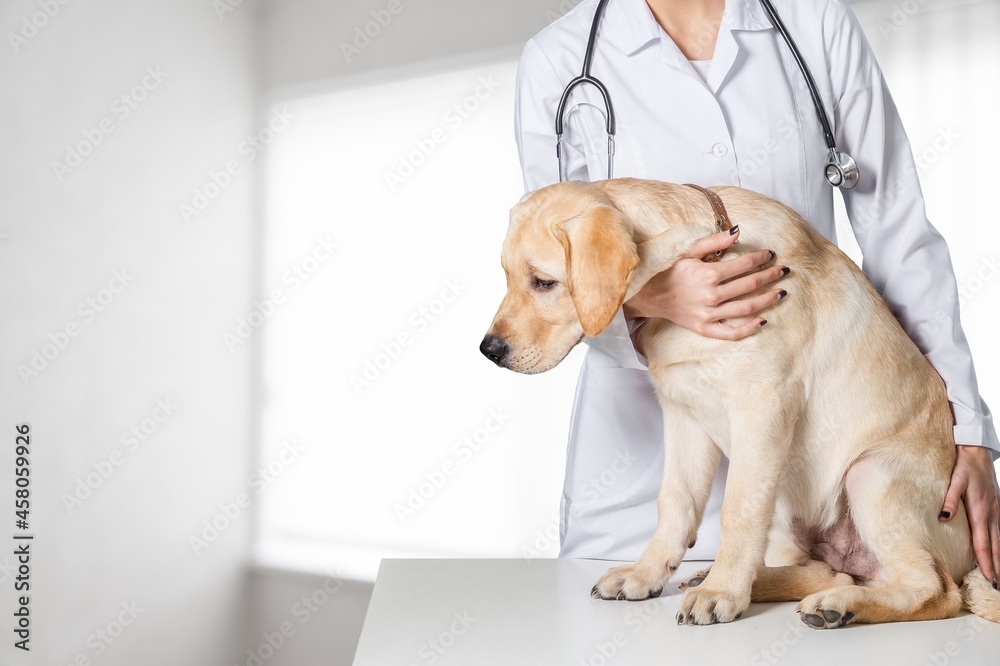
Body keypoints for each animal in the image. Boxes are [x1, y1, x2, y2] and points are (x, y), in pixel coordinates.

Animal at [480, 178, 1000, 628]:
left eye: (544, 282)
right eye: (506, 276)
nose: (488, 351)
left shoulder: (762, 407)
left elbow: (737, 510)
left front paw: (722, 593)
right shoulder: (683, 411)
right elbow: (675, 502)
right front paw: (647, 575)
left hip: (869, 475)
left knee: (935, 592)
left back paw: (834, 605)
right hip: (793, 504)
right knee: (826, 569)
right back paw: (736, 580)